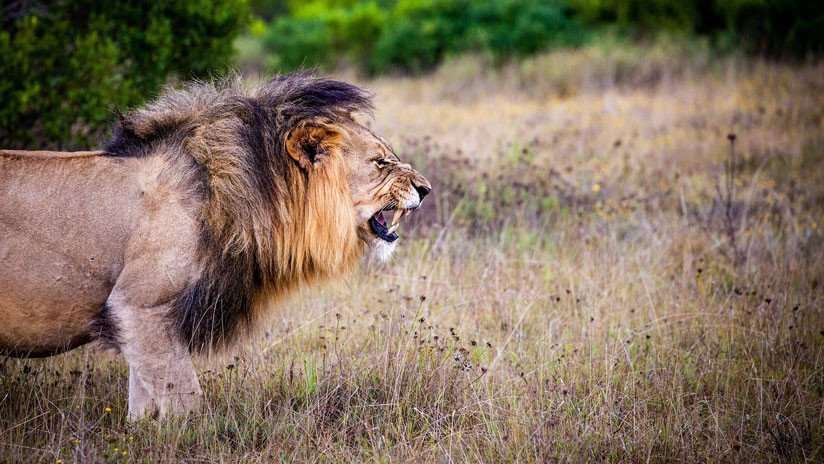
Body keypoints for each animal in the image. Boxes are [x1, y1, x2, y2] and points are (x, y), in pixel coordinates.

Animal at [0, 72, 431, 420]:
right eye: (380, 162)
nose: (425, 189)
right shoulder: (138, 306)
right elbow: (184, 400)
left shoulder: (142, 323)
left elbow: (144, 405)